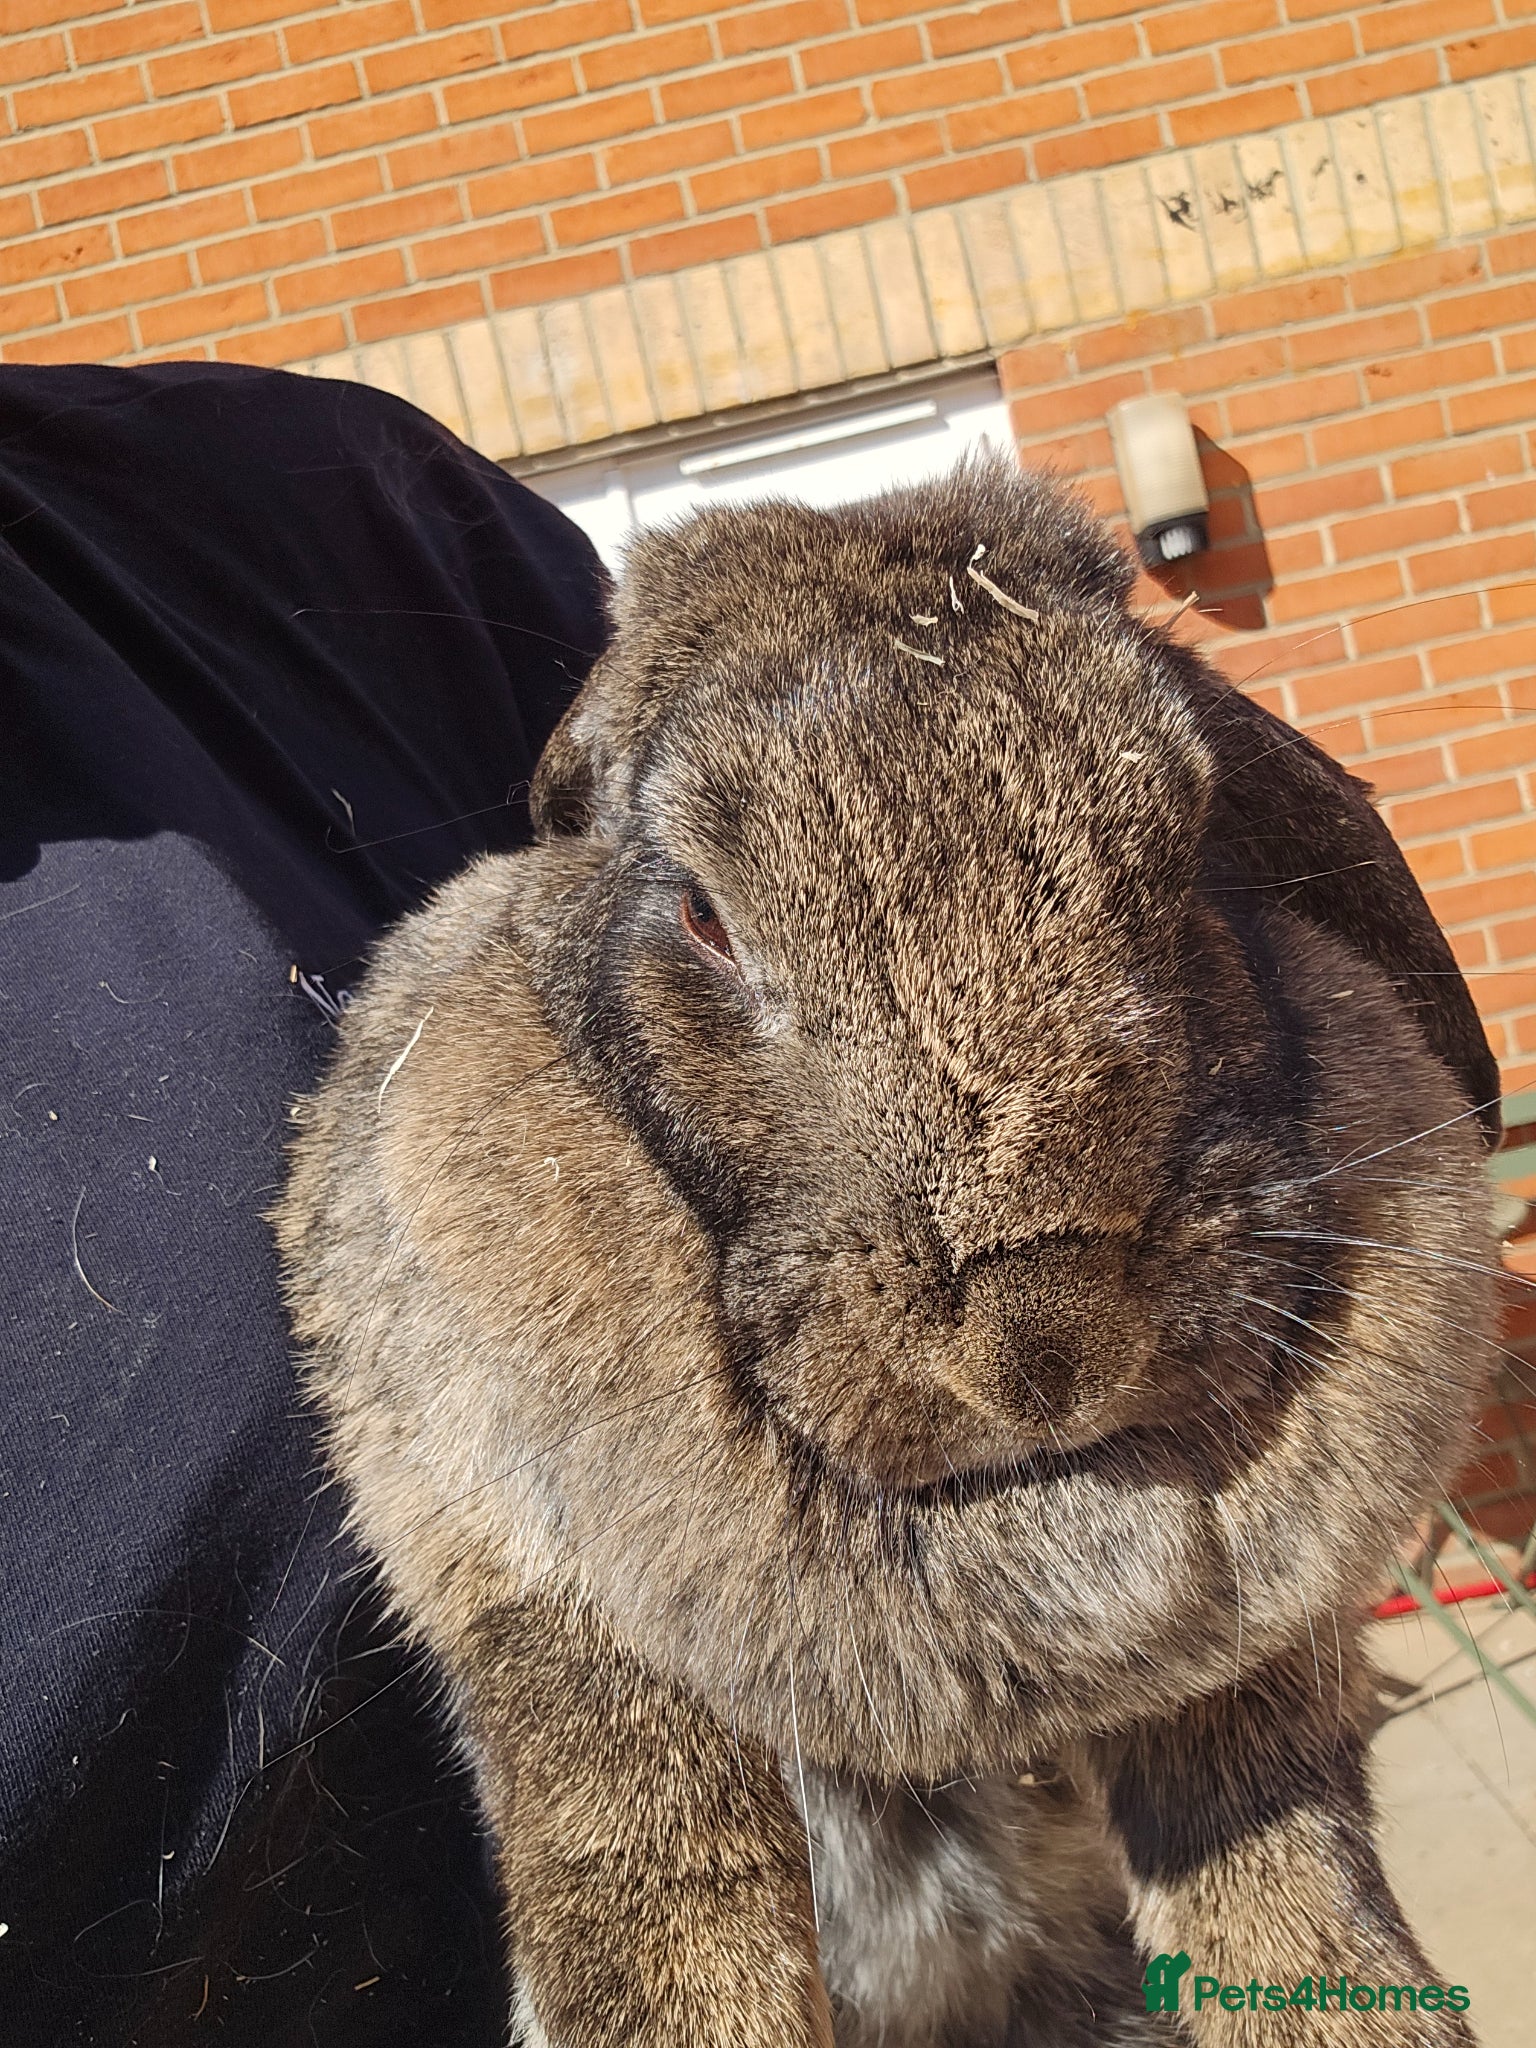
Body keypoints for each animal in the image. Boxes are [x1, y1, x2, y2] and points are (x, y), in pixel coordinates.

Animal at [275, 454, 1502, 2048]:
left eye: (1194, 847)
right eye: (701, 913)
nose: (1045, 1336)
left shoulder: (1245, 1661)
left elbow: (1264, 1837)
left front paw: (1346, 2005)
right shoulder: (512, 1563)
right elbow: (635, 1844)